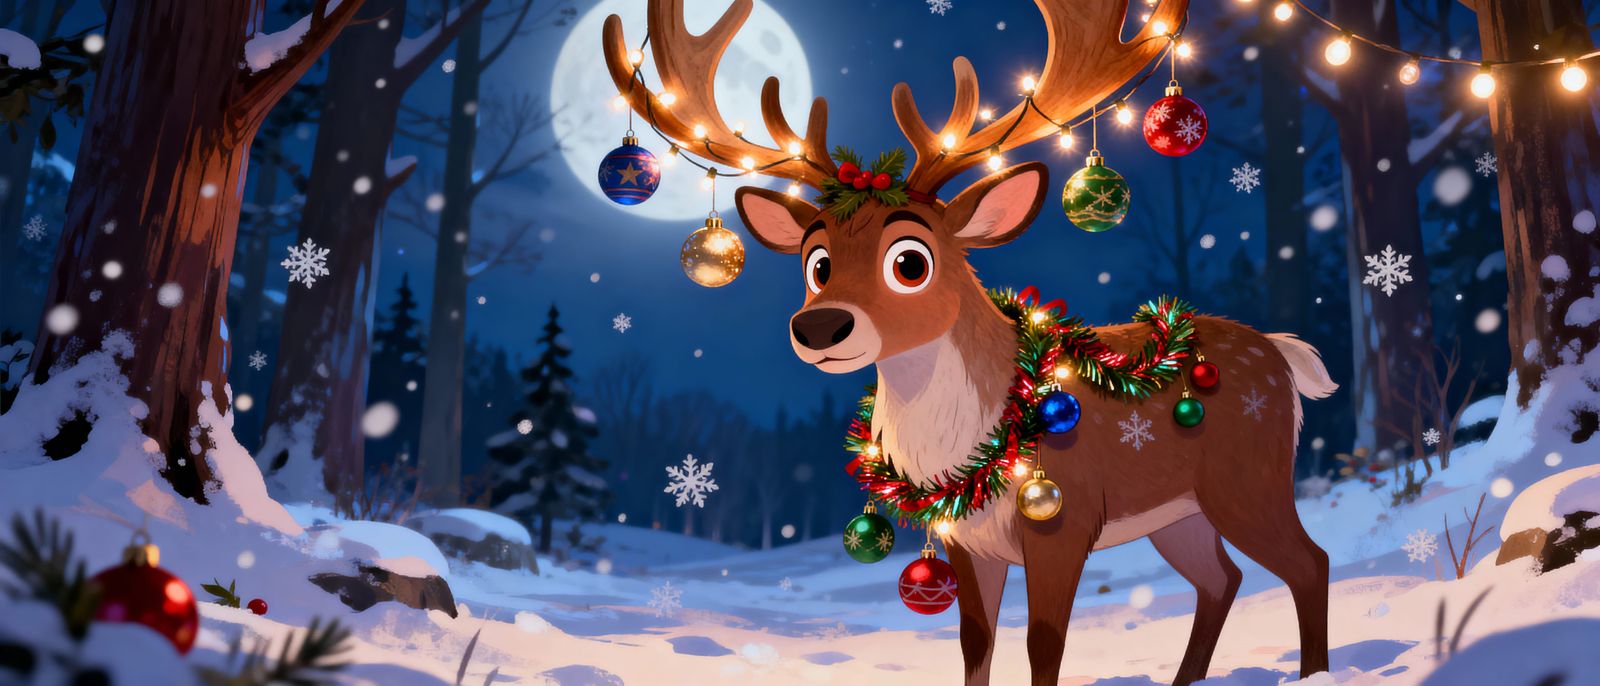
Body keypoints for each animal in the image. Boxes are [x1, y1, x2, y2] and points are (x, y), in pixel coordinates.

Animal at [603, 1, 1337, 684]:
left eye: (910, 260)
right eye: (815, 261)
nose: (819, 327)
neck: (971, 443)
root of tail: (1282, 353)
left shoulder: (1064, 518)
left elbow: (1045, 641)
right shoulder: (966, 540)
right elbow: (975, 640)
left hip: (1248, 476)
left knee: (1308, 562)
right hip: (1178, 512)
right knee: (1221, 578)